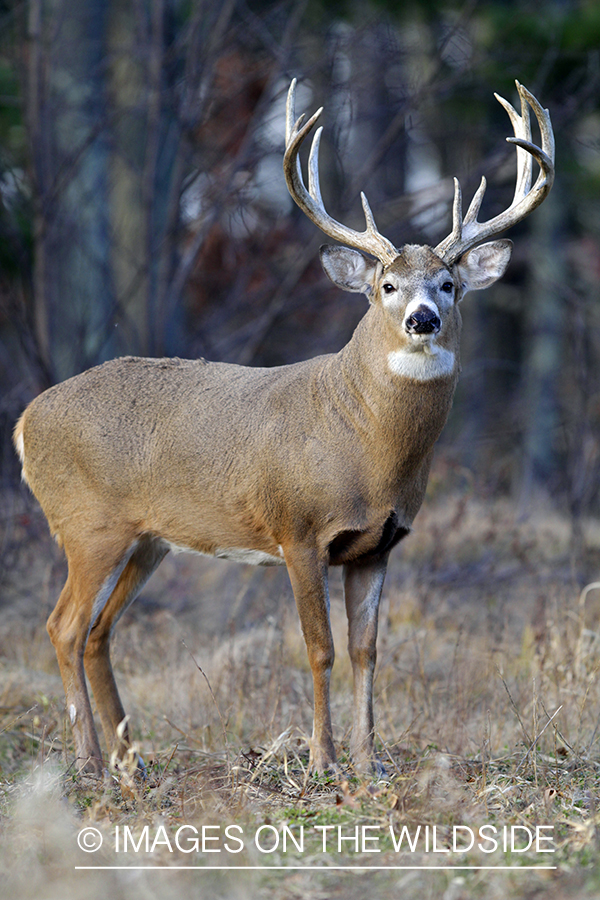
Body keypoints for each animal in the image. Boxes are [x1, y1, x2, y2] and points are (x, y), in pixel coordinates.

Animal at [12, 81, 552, 776]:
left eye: (449, 283)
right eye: (387, 285)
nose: (423, 318)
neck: (366, 448)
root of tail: (26, 420)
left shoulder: (379, 543)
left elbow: (367, 651)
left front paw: (370, 763)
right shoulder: (297, 530)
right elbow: (319, 648)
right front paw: (323, 760)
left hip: (148, 539)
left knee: (99, 631)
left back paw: (132, 760)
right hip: (87, 525)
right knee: (64, 626)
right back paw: (91, 763)